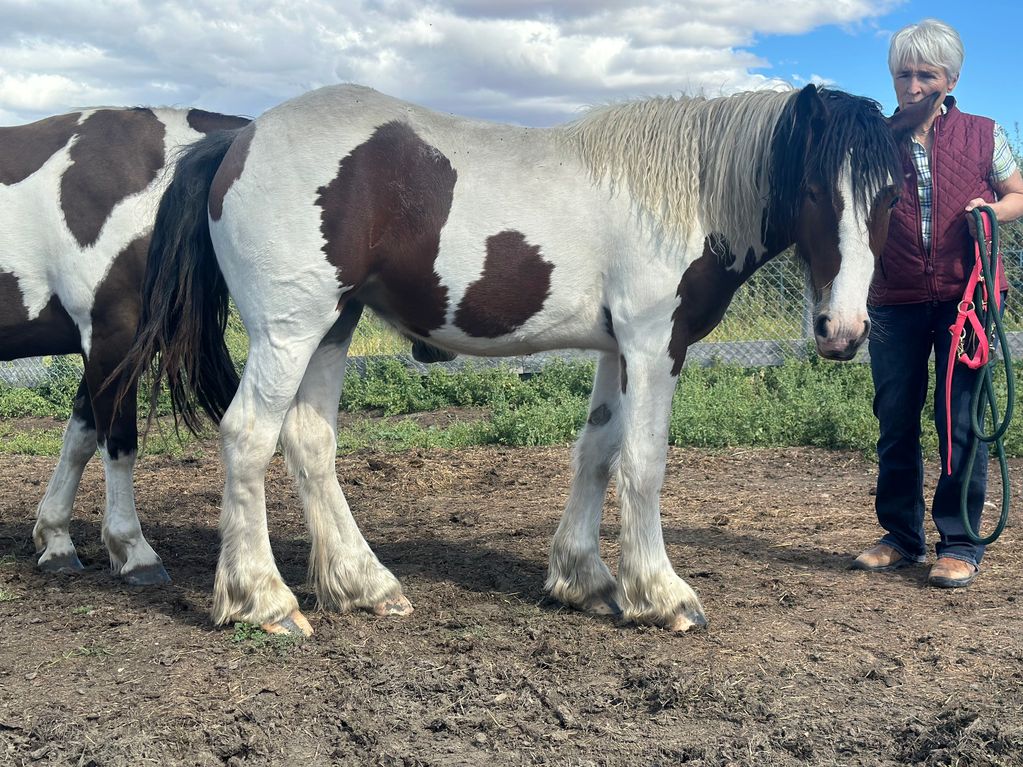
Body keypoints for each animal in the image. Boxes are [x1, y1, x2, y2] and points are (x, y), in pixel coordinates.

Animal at [0, 106, 250, 583]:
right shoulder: (111, 337)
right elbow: (118, 443)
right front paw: (135, 551)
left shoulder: (111, 349)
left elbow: (78, 440)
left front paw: (56, 540)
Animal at [120, 83, 932, 635]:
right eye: (811, 188)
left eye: (892, 194)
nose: (842, 330)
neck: (684, 195)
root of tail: (239, 139)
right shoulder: (654, 344)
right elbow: (644, 463)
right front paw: (662, 595)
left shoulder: (616, 349)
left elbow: (597, 453)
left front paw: (585, 579)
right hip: (291, 328)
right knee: (248, 438)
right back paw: (261, 599)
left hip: (331, 326)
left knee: (309, 441)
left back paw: (365, 585)